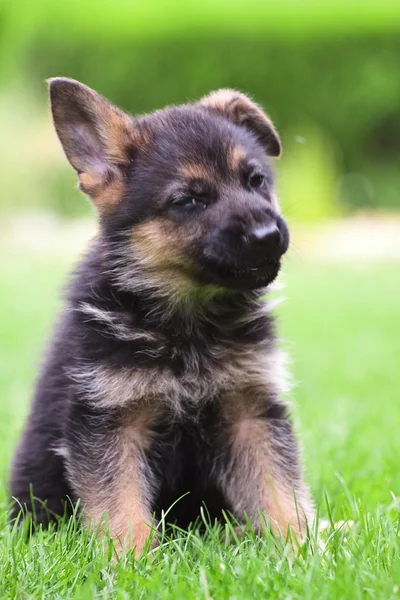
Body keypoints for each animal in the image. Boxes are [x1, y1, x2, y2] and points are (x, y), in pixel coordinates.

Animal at [9, 77, 312, 556]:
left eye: (255, 180)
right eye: (188, 200)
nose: (267, 235)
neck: (190, 325)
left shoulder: (251, 412)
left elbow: (279, 491)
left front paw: (302, 551)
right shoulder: (110, 422)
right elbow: (120, 504)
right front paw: (131, 561)